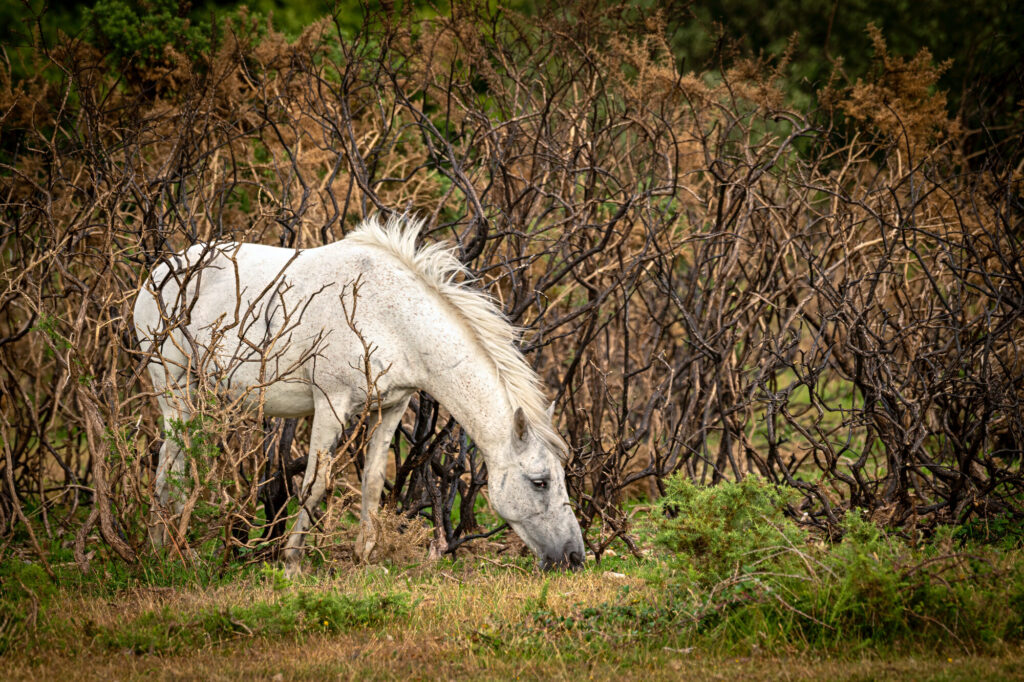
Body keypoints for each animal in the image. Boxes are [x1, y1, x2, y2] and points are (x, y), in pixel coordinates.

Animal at [132, 214, 585, 571]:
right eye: (540, 482)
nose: (575, 557)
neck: (394, 317)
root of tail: (157, 275)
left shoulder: (392, 406)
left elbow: (371, 480)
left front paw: (365, 555)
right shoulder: (330, 405)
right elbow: (315, 483)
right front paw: (291, 561)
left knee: (176, 466)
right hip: (174, 391)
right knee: (167, 468)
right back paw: (165, 552)